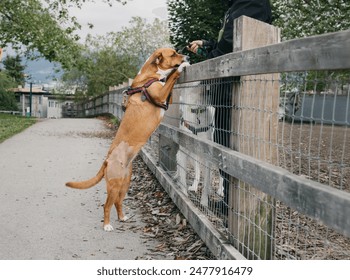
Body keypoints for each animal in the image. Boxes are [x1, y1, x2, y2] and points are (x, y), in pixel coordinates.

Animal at [66, 48, 190, 232]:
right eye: (173, 53)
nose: (187, 56)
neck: (149, 76)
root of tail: (107, 161)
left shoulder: (167, 97)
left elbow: (169, 82)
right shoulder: (160, 95)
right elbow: (172, 77)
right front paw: (181, 67)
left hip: (125, 184)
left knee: (118, 202)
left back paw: (122, 217)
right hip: (114, 185)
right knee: (106, 205)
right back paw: (107, 225)